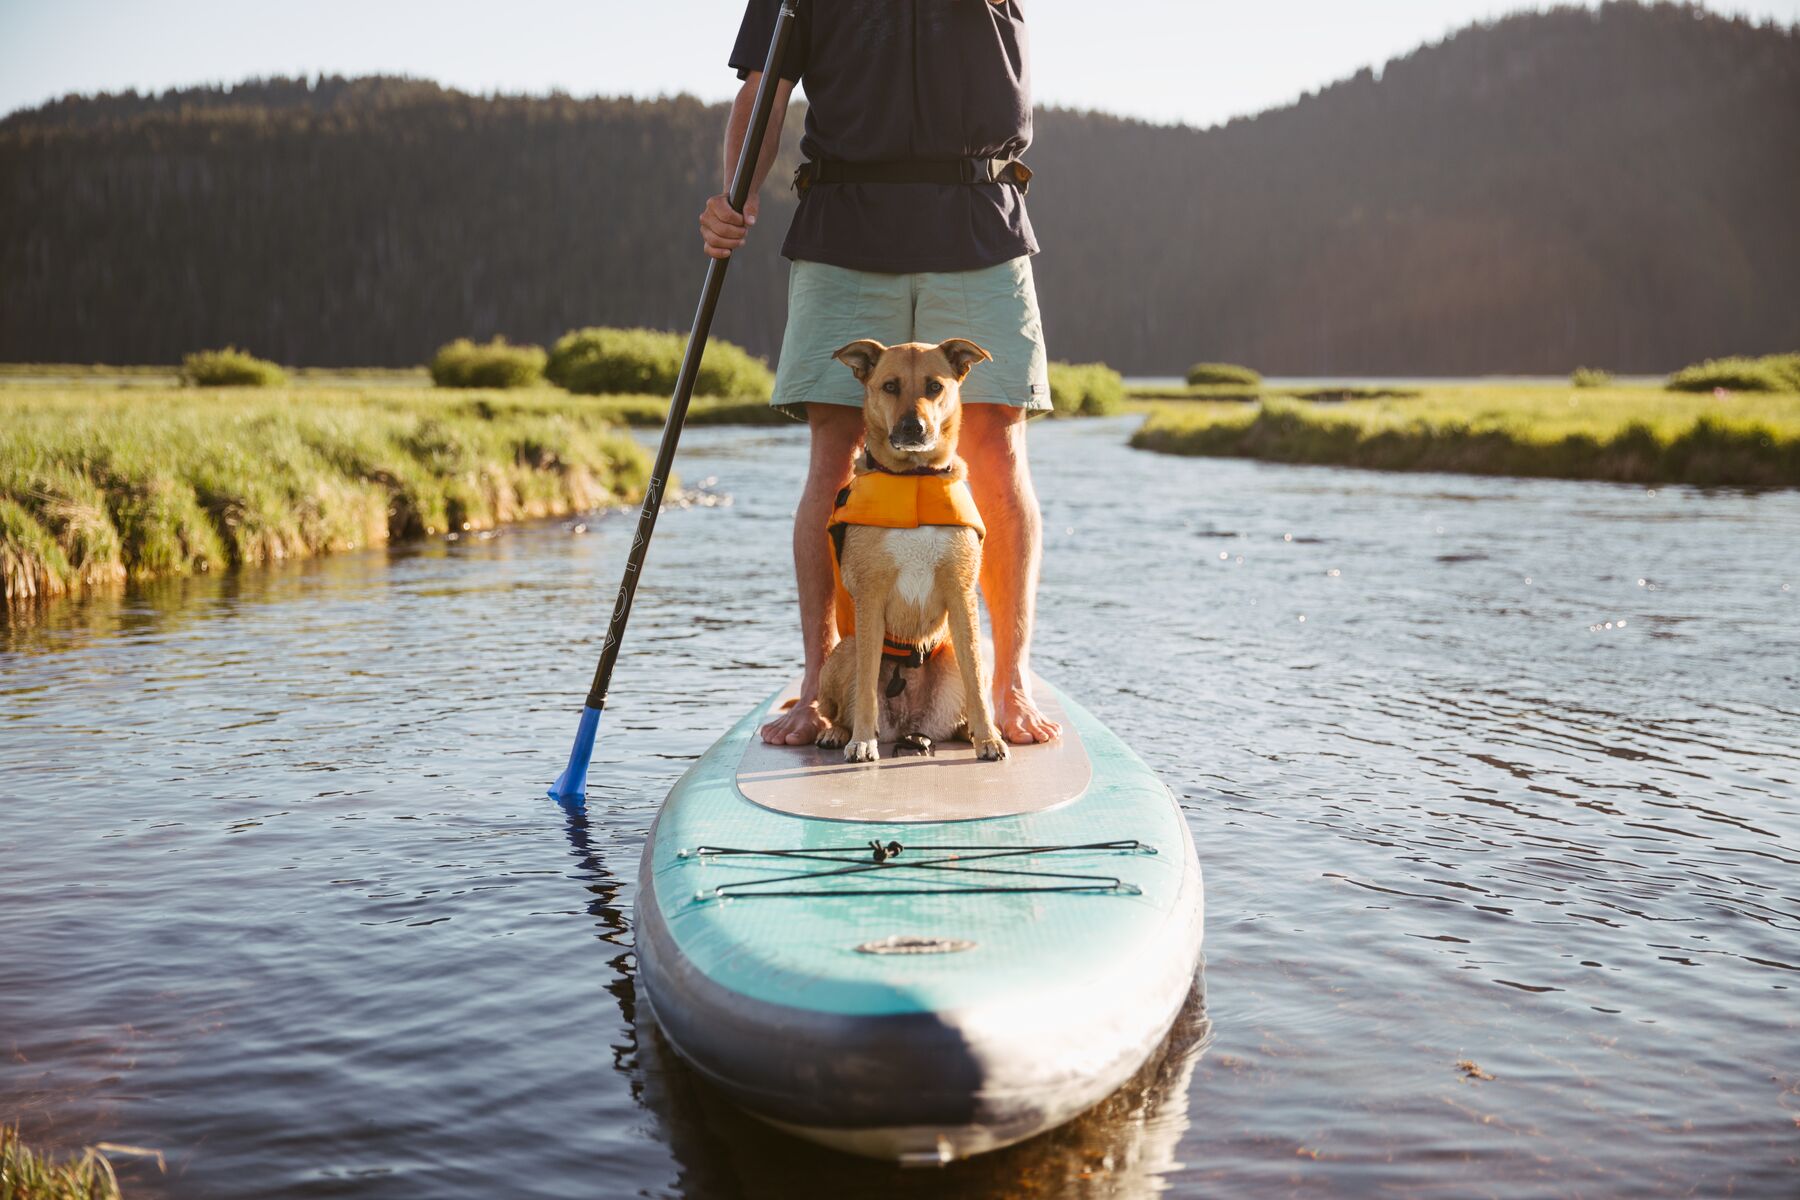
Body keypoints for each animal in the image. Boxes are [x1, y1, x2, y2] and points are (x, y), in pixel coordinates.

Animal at [817, 338, 1015, 766]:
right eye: (890, 386)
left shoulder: (961, 595)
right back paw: (837, 732)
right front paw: (861, 741)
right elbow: (865, 689)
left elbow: (977, 684)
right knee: (836, 707)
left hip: (954, 653)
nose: (913, 428)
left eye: (935, 386)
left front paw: (989, 738)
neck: (915, 480)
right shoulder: (871, 599)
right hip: (843, 653)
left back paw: (970, 730)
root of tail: (912, 727)